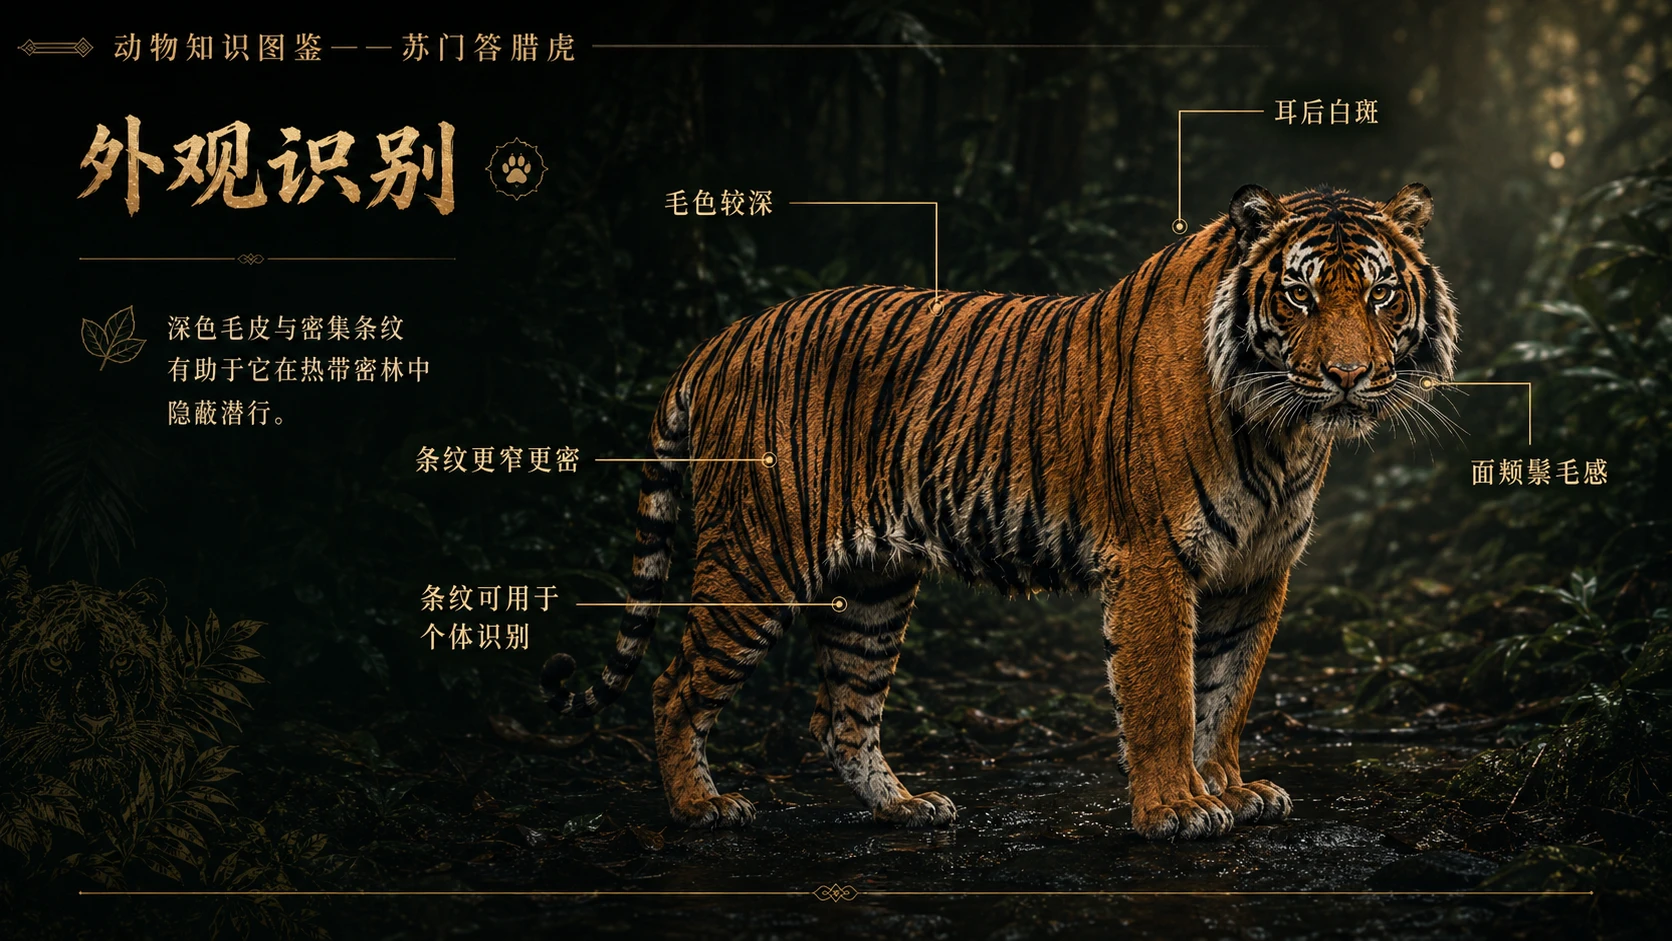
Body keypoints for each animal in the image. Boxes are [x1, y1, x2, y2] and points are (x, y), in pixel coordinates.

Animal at [542, 182, 1458, 841]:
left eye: (1380, 294)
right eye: (1301, 297)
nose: (1346, 377)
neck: (1283, 430)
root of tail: (724, 337)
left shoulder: (1256, 571)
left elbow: (1226, 694)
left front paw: (1230, 789)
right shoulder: (1156, 561)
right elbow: (1166, 695)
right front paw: (1176, 808)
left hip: (873, 587)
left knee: (841, 715)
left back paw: (906, 807)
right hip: (756, 558)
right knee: (673, 685)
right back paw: (700, 807)